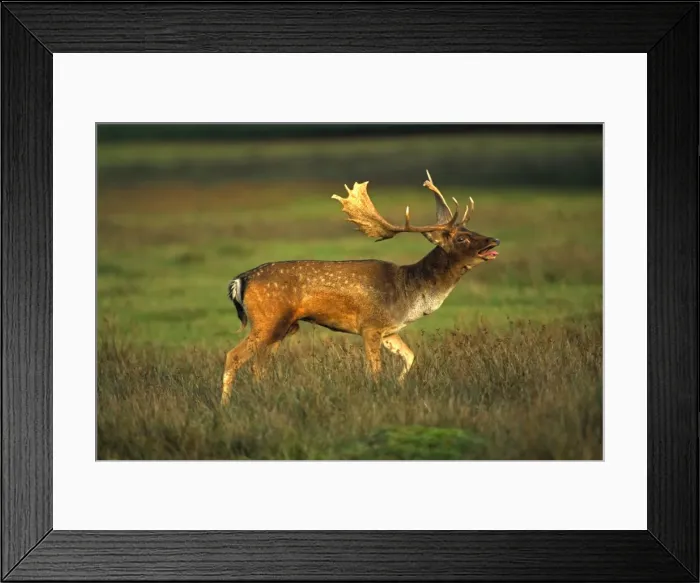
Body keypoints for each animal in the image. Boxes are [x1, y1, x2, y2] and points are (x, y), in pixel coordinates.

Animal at [220, 170, 499, 406]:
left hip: (284, 327)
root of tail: (240, 279)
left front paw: (399, 385)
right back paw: (225, 406)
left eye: (470, 229)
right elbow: (375, 370)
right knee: (233, 356)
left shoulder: (389, 330)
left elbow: (410, 356)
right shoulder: (370, 326)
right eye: (461, 238)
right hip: (268, 320)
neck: (408, 293)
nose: (494, 240)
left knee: (258, 365)